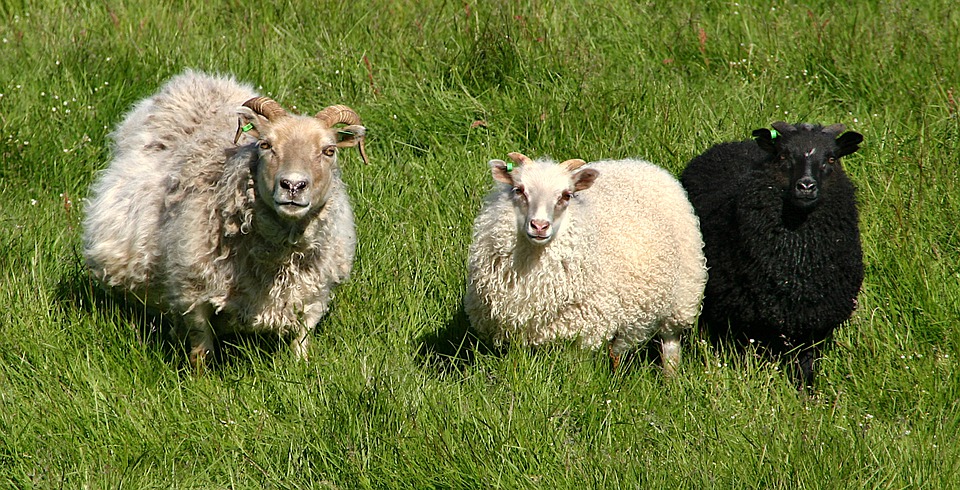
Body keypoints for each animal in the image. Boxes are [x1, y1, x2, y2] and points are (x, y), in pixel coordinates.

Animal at [82, 70, 367, 369]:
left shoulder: (314, 295)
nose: (293, 185)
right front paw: (200, 378)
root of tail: (198, 80)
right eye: (265, 145)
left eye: (329, 150)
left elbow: (301, 342)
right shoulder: (192, 292)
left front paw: (299, 368)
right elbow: (201, 349)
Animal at [464, 152, 707, 375]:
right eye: (519, 190)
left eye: (566, 195)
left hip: (683, 295)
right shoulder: (510, 333)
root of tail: (637, 162)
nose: (539, 226)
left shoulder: (583, 331)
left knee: (670, 341)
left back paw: (671, 378)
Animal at [680, 121, 864, 388]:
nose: (806, 186)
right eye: (783, 156)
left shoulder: (813, 322)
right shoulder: (744, 323)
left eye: (831, 158)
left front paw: (806, 393)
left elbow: (806, 365)